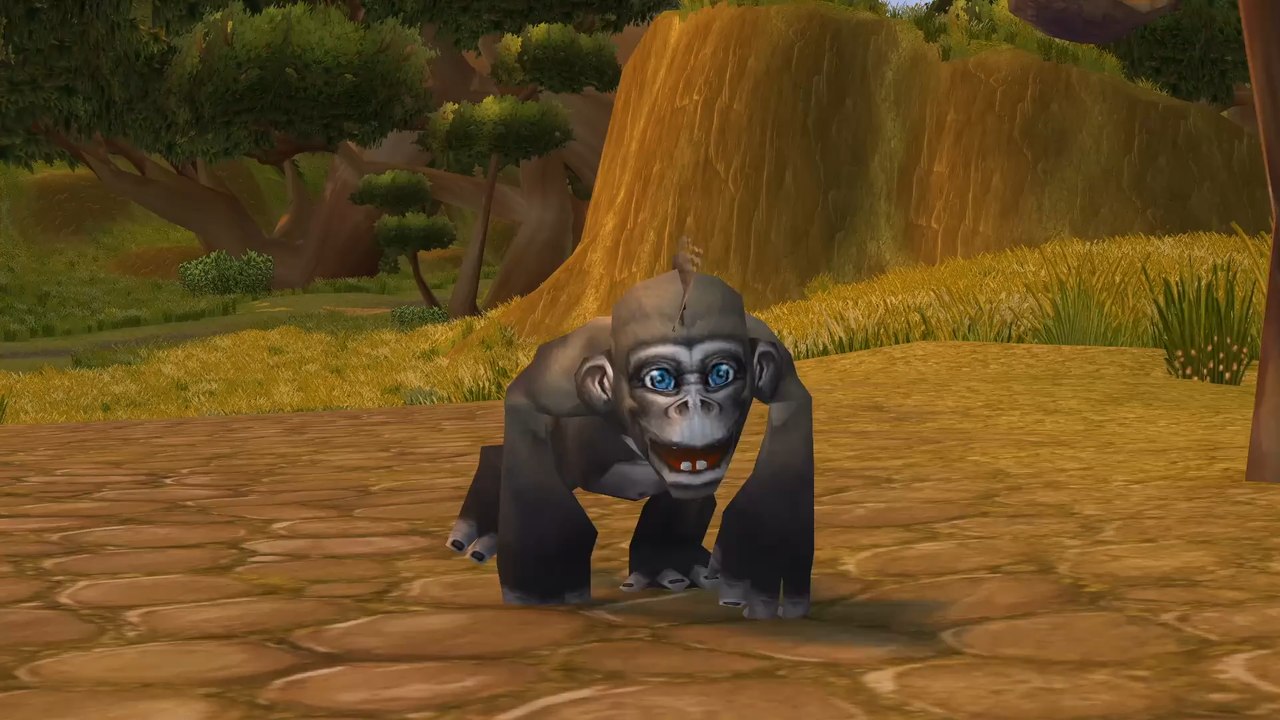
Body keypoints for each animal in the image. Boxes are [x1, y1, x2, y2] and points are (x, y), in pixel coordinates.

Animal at [445, 247, 814, 620]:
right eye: (659, 380)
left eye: (721, 374)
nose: (696, 407)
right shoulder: (558, 376)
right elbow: (526, 405)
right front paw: (541, 573)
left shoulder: (770, 347)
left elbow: (791, 403)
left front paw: (760, 545)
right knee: (514, 453)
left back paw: (669, 562)